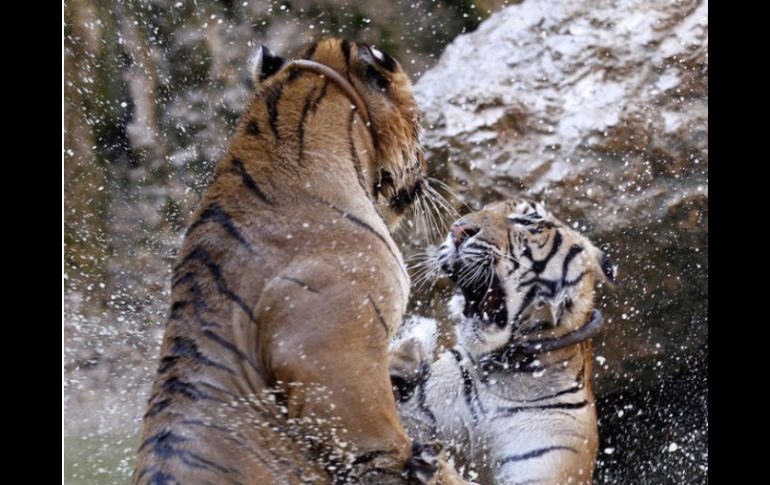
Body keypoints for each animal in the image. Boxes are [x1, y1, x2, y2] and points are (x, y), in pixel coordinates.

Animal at [389, 200, 618, 484]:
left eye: (529, 222)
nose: (457, 230)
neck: (506, 371)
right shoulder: (416, 412)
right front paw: (406, 355)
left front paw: (430, 463)